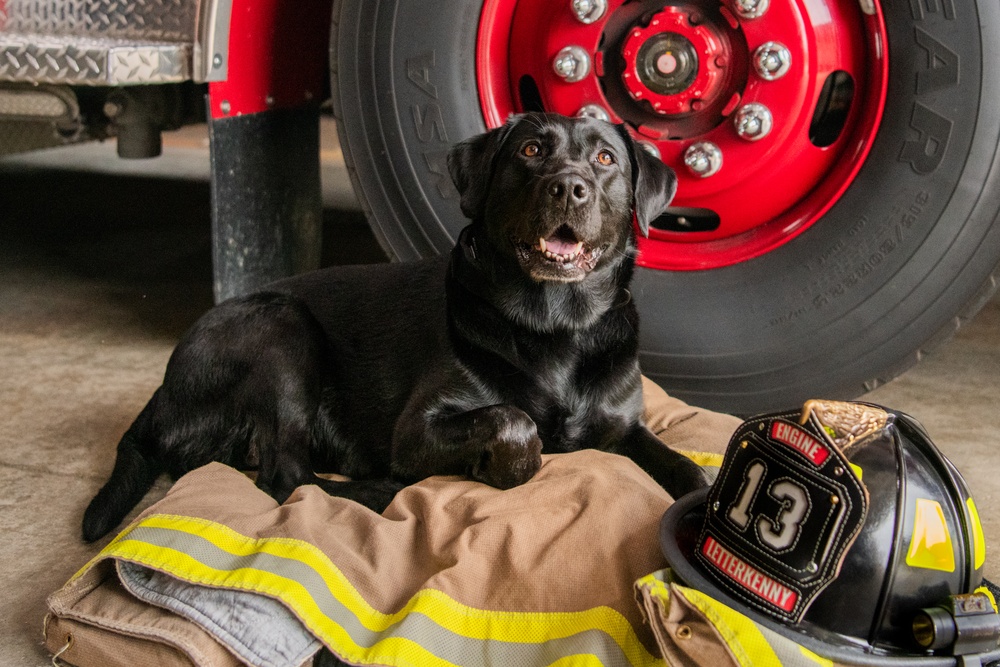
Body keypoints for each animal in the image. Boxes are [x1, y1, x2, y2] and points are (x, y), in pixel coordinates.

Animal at [82, 112, 708, 544]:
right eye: (531, 150)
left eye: (604, 159)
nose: (568, 186)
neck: (557, 327)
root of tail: (161, 393)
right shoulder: (417, 430)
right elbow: (514, 420)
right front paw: (509, 465)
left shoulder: (625, 428)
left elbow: (691, 471)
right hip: (281, 328)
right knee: (287, 476)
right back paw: (379, 487)